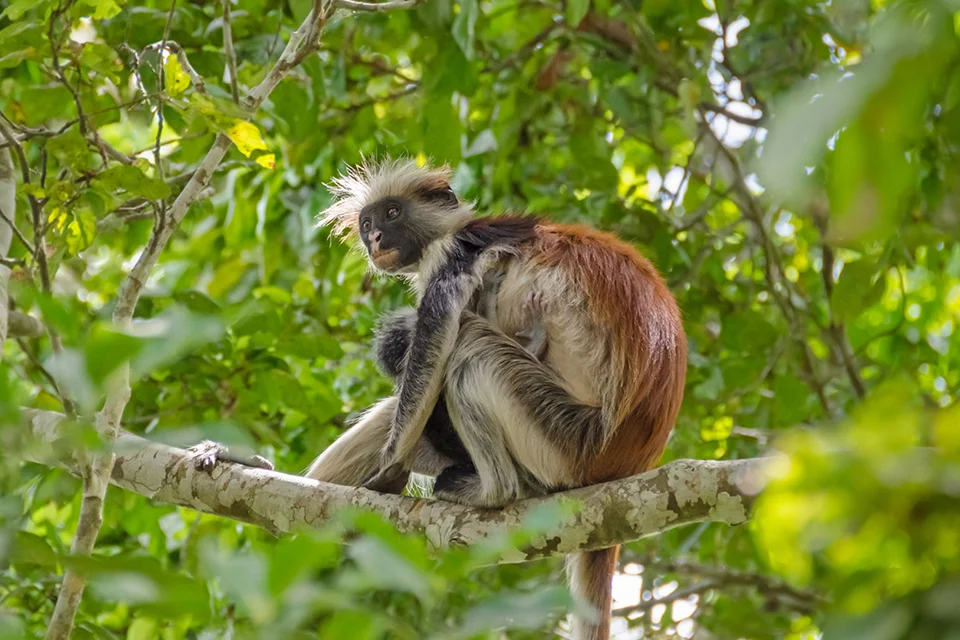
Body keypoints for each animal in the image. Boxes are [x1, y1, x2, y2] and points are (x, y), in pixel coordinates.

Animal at [306, 158, 687, 640]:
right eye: (367, 223)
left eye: (392, 214)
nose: (374, 239)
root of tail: (626, 465)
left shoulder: (452, 254)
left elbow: (437, 332)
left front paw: (388, 472)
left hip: (566, 443)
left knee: (469, 351)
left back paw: (493, 490)